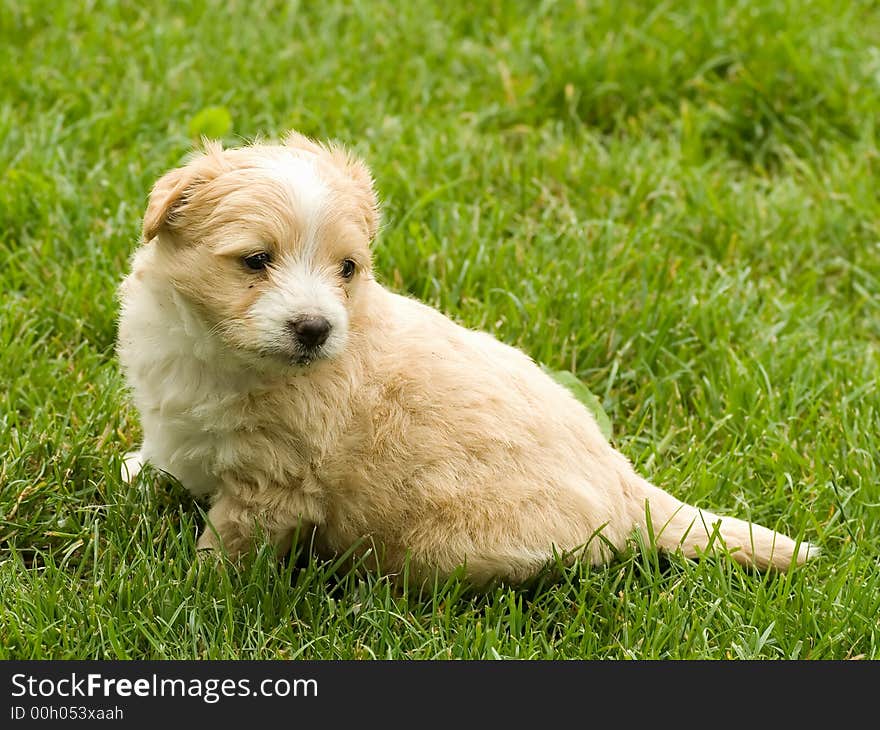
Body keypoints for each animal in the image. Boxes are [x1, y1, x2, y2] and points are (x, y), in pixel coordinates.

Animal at [118, 134, 820, 584]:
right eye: (255, 260)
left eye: (347, 269)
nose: (315, 329)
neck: (218, 350)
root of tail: (629, 488)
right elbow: (163, 451)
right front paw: (139, 471)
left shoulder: (275, 482)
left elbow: (228, 542)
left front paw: (196, 588)